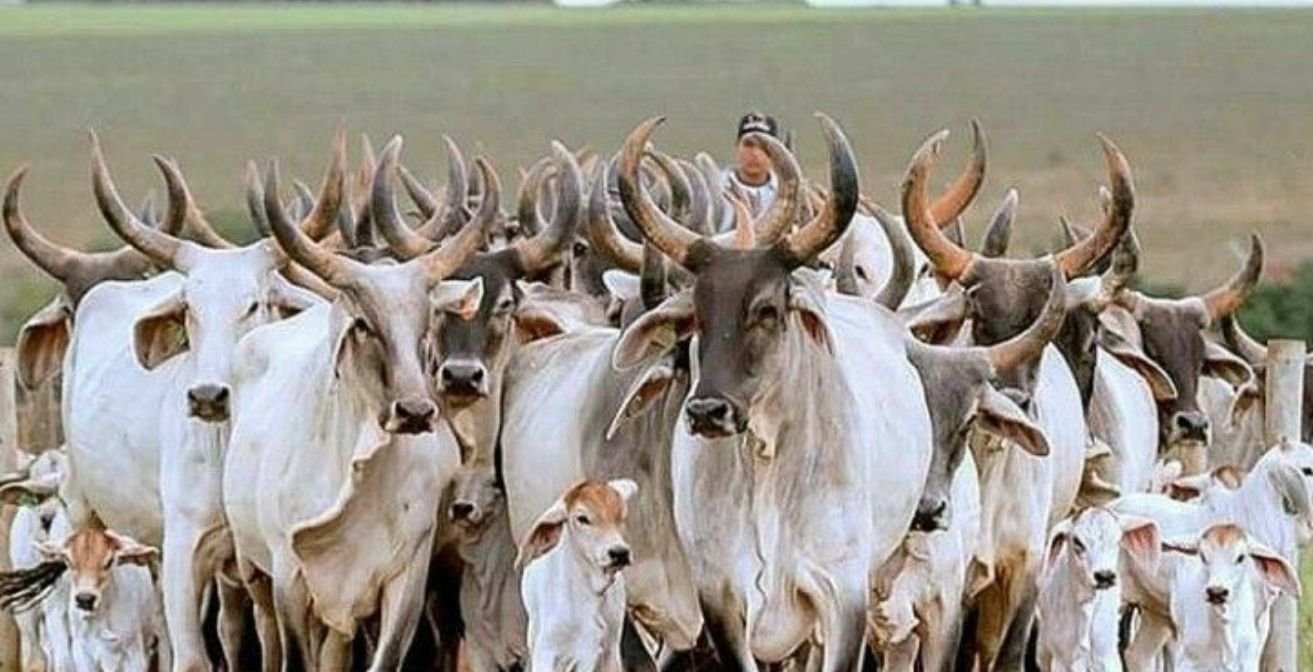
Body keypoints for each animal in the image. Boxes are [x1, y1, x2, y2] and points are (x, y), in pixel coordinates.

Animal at [221, 137, 490, 671]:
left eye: (427, 321)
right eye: (364, 324)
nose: (415, 412)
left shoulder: (406, 580)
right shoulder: (290, 577)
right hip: (253, 570)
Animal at [605, 113, 934, 671]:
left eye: (766, 309)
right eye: (697, 315)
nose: (708, 411)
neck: (766, 465)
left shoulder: (841, 596)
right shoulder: (719, 598)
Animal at [898, 129, 1135, 670]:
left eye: (1041, 324)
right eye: (980, 318)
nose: (1012, 398)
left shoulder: (1024, 570)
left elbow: (1007, 656)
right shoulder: (956, 585)